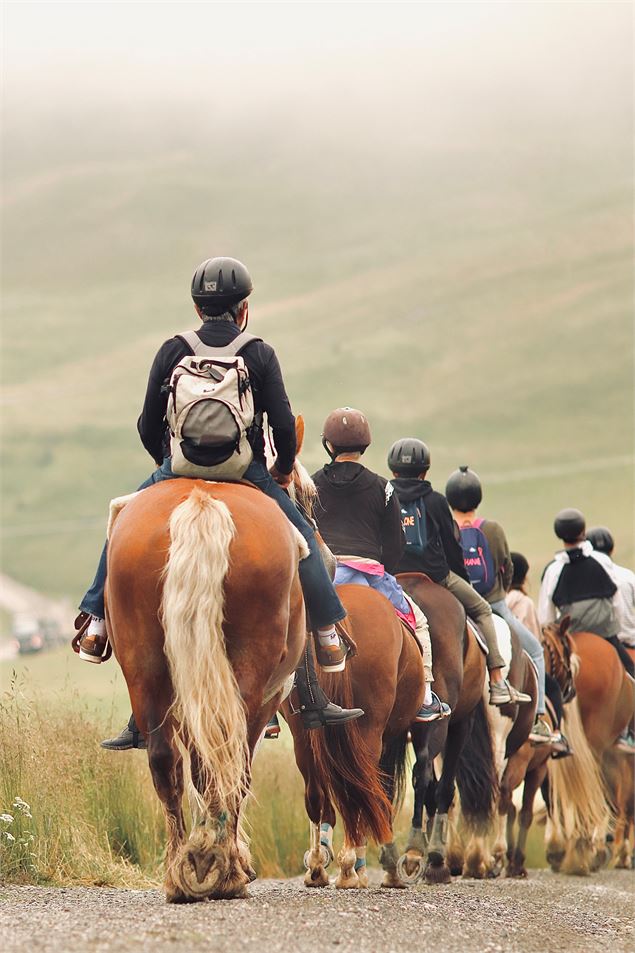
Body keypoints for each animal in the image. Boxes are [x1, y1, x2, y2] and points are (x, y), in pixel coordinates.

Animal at [105, 480, 308, 904]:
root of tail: (202, 501)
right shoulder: (269, 697)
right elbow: (235, 774)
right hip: (247, 671)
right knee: (228, 761)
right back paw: (221, 869)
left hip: (145, 664)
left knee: (166, 761)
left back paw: (181, 872)